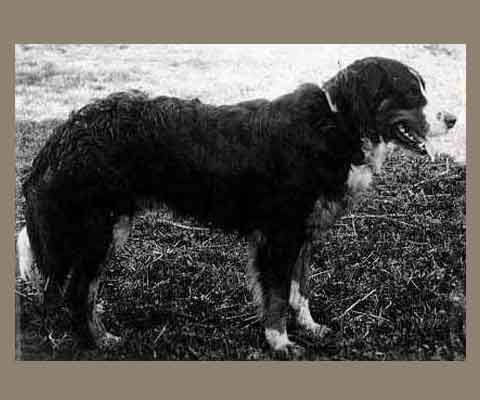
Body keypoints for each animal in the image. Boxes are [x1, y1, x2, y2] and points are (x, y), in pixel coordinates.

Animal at [15, 56, 458, 354]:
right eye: (411, 93)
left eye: (423, 89)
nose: (453, 119)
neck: (337, 125)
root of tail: (65, 130)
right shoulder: (279, 235)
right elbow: (276, 296)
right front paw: (280, 342)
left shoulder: (303, 233)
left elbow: (300, 289)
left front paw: (309, 326)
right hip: (100, 229)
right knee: (77, 291)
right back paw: (100, 339)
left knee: (67, 290)